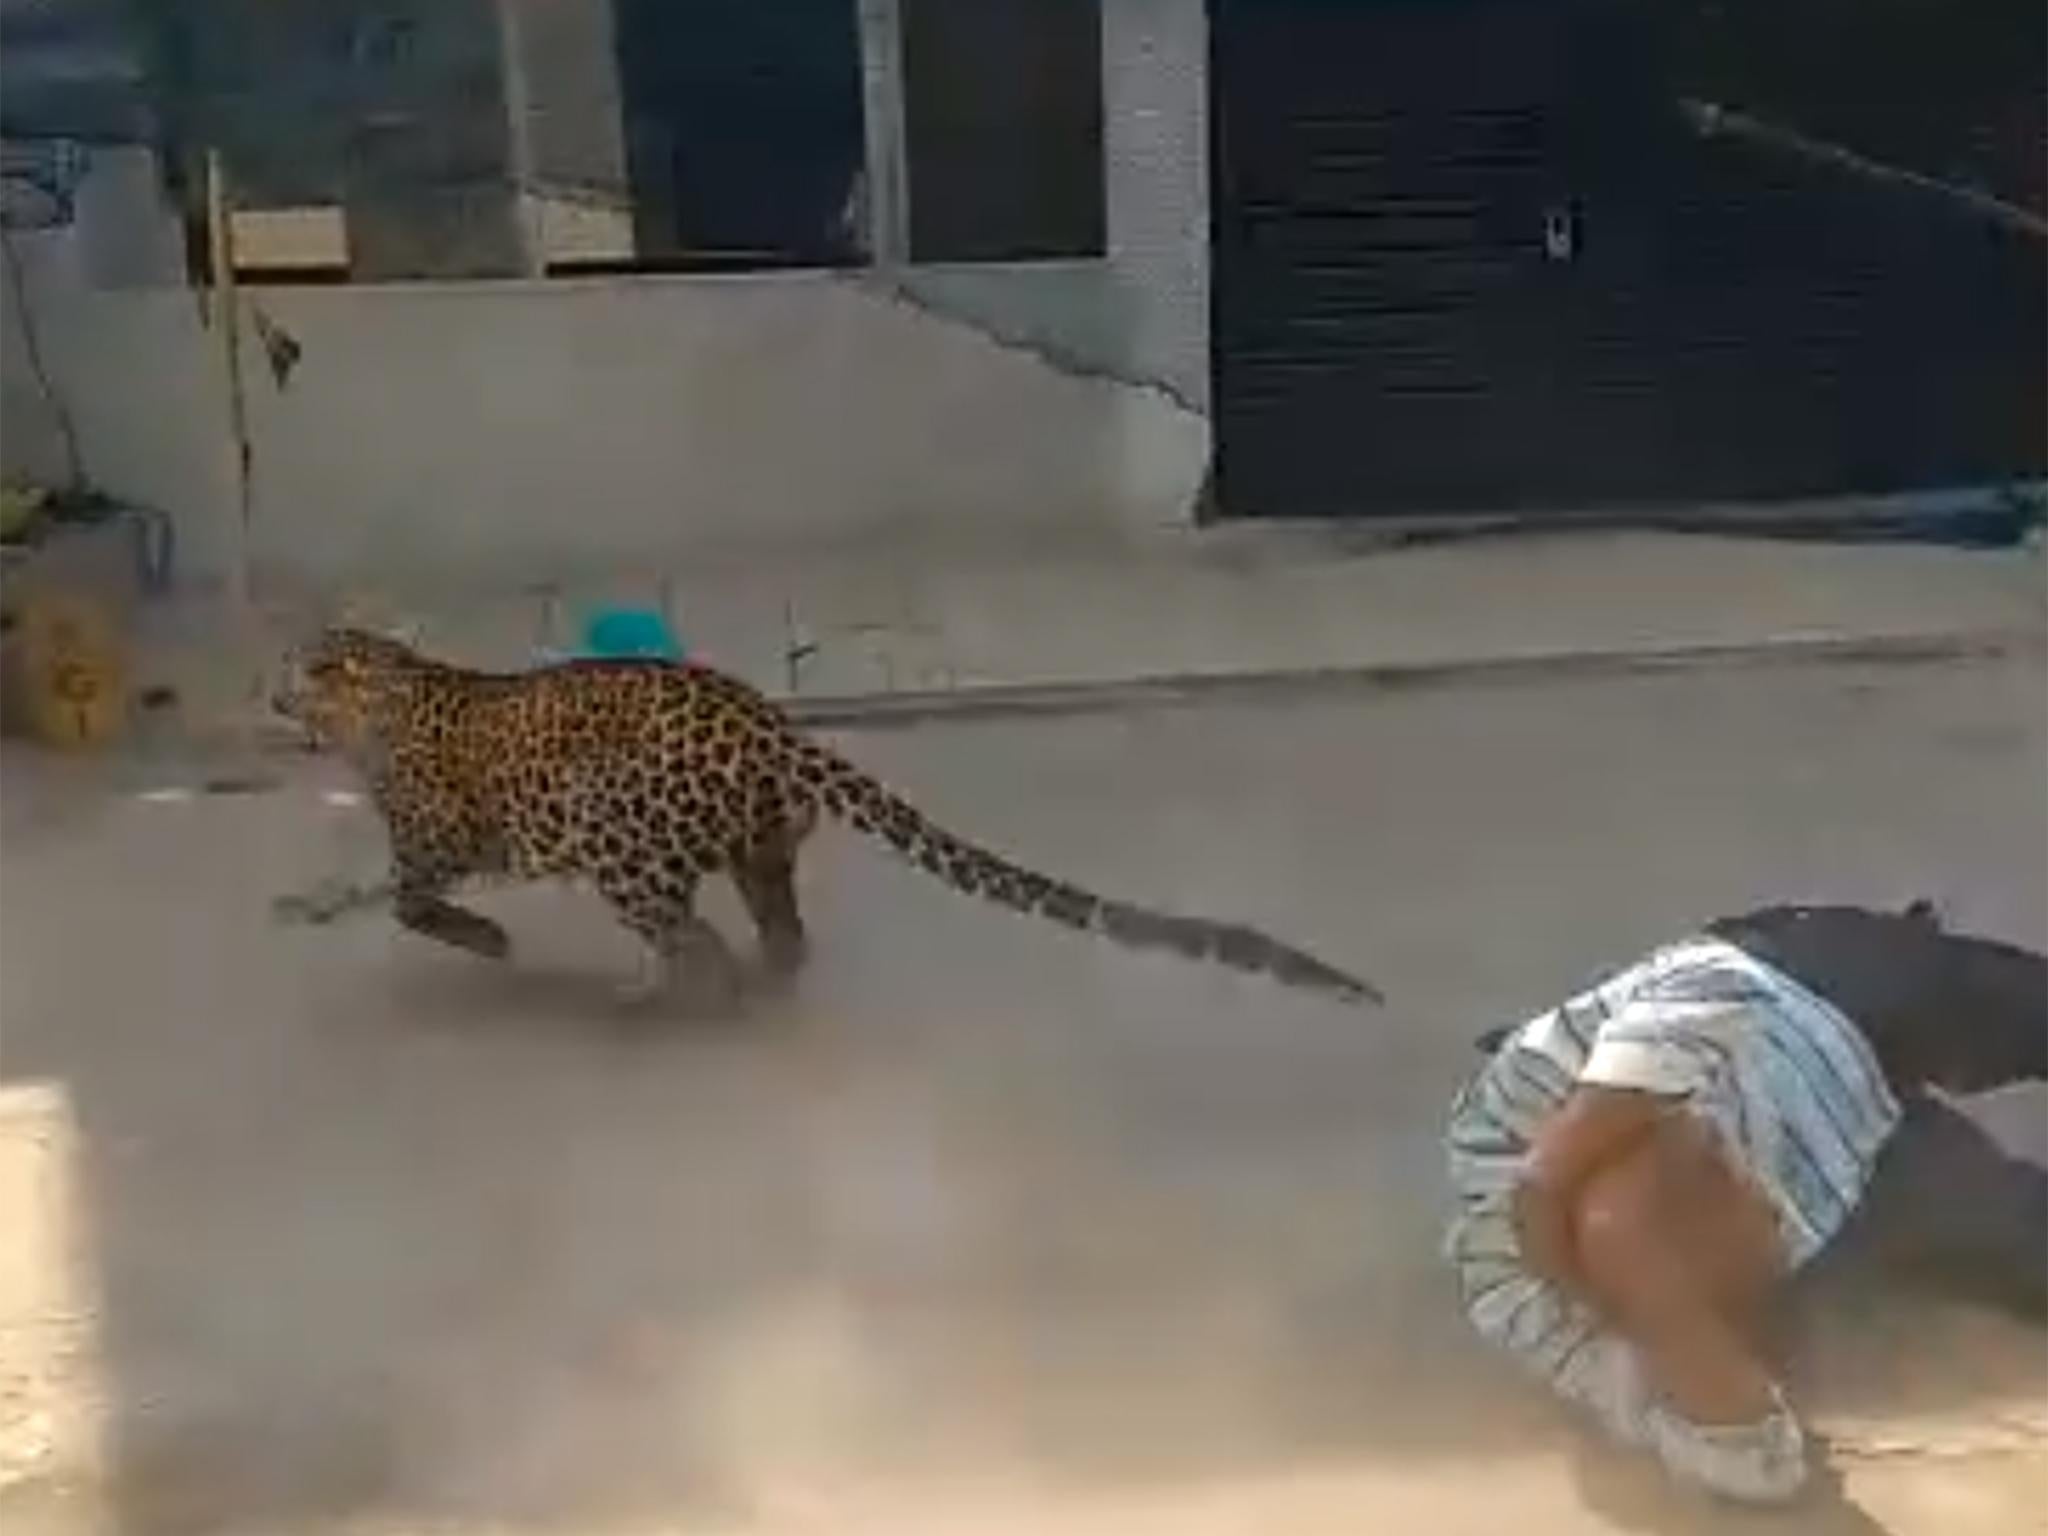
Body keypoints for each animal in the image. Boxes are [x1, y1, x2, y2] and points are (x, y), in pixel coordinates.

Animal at [273, 627, 1383, 1012]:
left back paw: (663, 999)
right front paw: (312, 903)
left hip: (618, 838)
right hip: (760, 850)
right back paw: (751, 987)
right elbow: (381, 893)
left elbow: (407, 901)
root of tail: (771, 726)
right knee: (775, 934)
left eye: (304, 675)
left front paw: (484, 939)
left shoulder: (440, 842)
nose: (274, 698)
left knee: (695, 937)